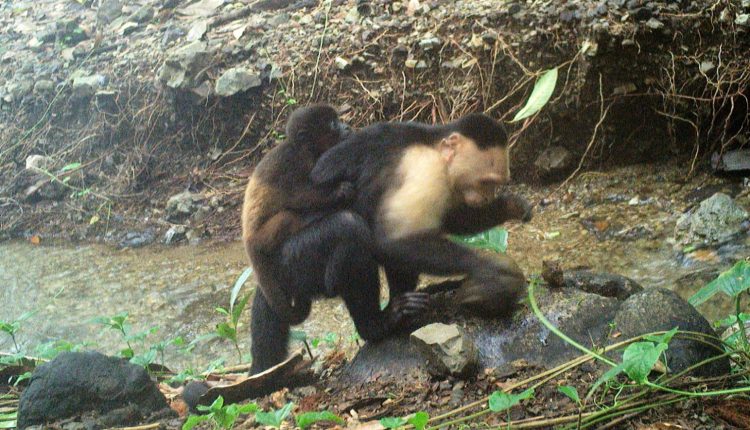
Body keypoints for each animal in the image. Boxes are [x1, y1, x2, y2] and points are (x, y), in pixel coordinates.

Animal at [242, 104, 354, 325]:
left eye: (338, 120)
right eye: (333, 123)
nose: (346, 126)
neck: (304, 149)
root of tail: (247, 242)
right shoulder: (295, 163)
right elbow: (297, 196)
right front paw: (339, 191)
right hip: (262, 237)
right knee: (287, 215)